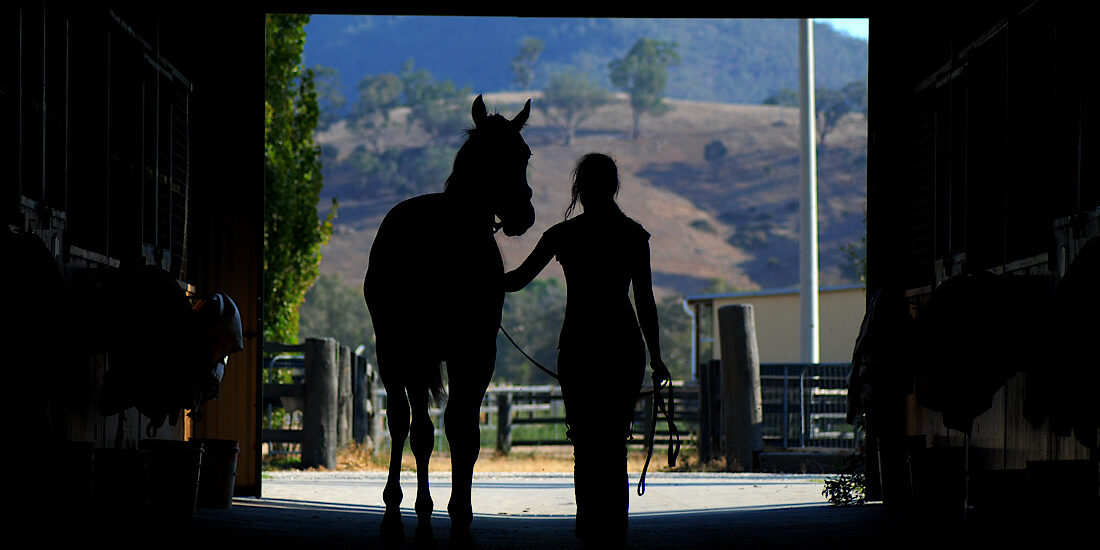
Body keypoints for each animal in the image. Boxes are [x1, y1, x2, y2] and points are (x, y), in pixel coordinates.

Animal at [364, 95, 534, 545]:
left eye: (524, 154)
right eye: (488, 155)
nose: (522, 215)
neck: (452, 246)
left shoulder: (476, 354)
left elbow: (464, 433)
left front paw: (461, 518)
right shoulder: (416, 354)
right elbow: (423, 432)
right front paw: (428, 517)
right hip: (394, 354)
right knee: (403, 424)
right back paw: (399, 514)